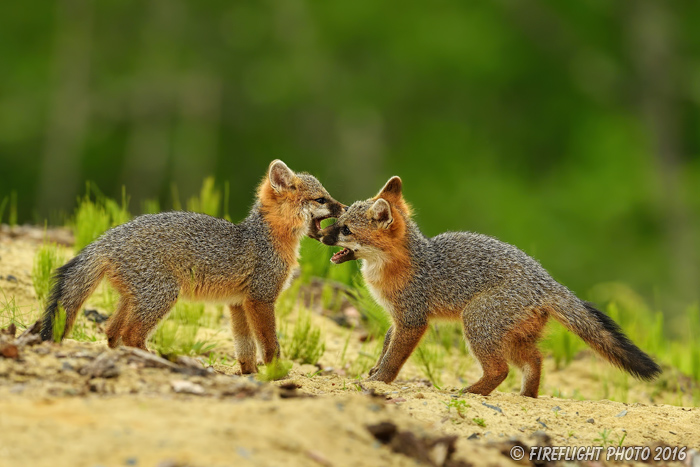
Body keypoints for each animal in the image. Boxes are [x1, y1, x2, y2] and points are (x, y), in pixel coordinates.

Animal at [318, 177, 660, 396]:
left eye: (345, 230)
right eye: (339, 221)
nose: (320, 235)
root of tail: (547, 280)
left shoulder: (412, 320)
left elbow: (393, 357)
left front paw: (379, 381)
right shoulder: (396, 319)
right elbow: (386, 346)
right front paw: (373, 372)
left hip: (476, 323)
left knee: (500, 370)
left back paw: (470, 392)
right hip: (511, 337)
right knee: (535, 360)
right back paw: (526, 397)